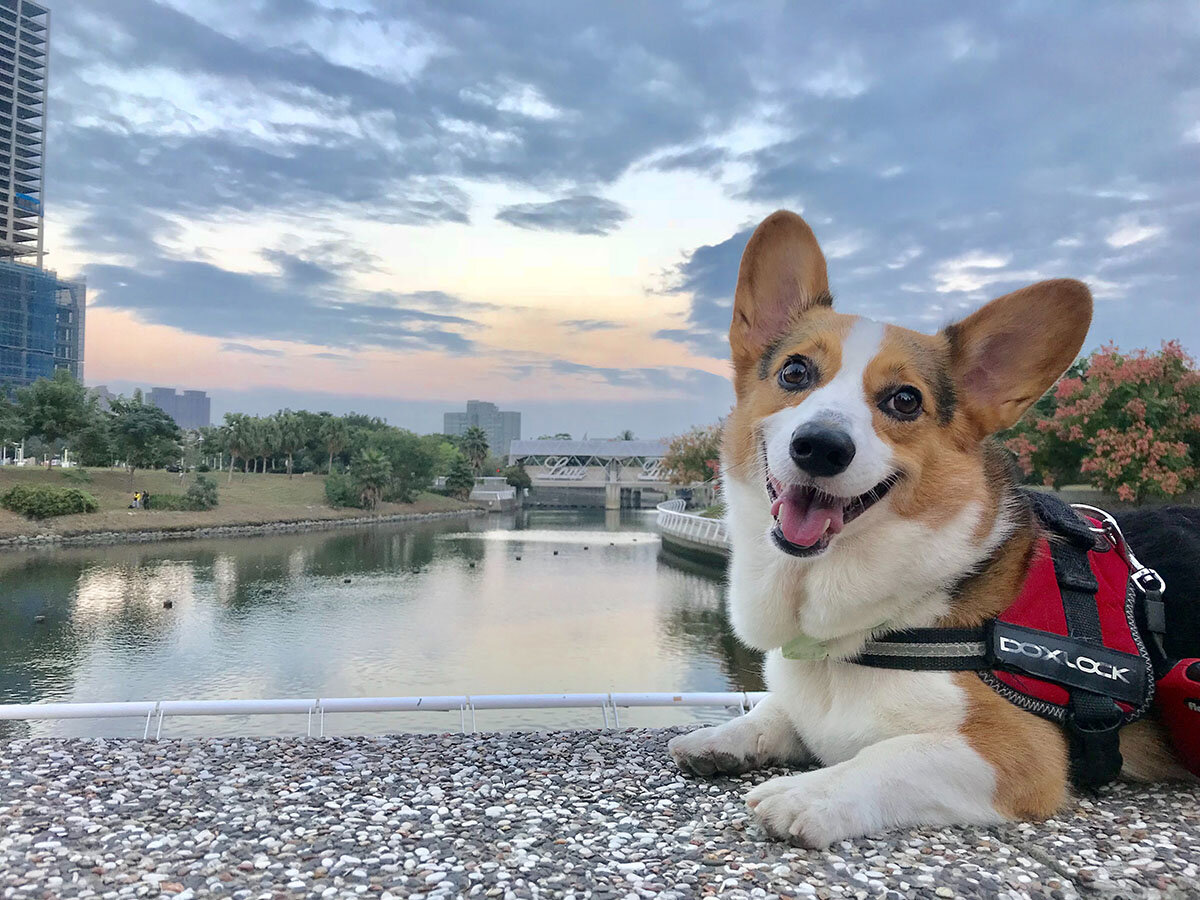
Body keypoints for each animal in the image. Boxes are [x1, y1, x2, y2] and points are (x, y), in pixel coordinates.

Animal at [667, 210, 1190, 844]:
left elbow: (891, 756)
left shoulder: (1015, 752)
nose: (821, 446)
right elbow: (774, 712)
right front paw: (723, 738)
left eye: (905, 401)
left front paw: (806, 792)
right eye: (794, 371)